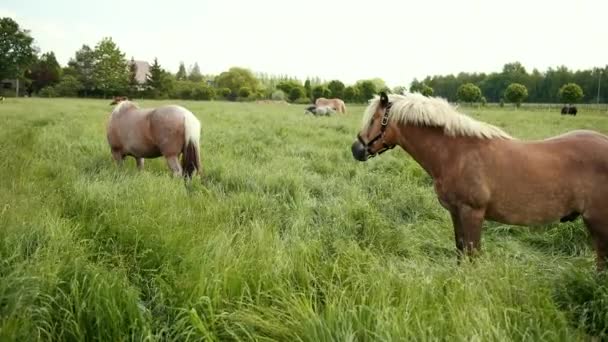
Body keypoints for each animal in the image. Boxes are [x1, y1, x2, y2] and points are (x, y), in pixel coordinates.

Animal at [352, 92, 608, 272]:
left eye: (374, 119)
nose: (356, 149)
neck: (457, 153)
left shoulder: (473, 213)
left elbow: (473, 254)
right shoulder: (456, 212)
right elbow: (460, 250)